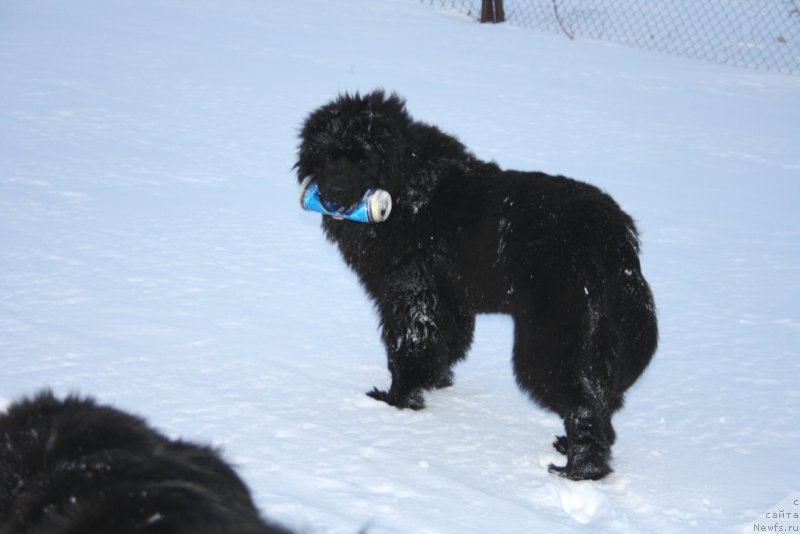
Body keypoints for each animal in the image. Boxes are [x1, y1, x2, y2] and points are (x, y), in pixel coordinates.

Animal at [296, 90, 660, 484]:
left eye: (363, 161)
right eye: (328, 157)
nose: (333, 192)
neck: (404, 185)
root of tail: (612, 230)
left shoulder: (410, 294)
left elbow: (408, 349)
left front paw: (396, 401)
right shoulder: (448, 302)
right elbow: (443, 346)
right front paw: (435, 384)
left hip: (550, 340)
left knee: (584, 405)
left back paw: (578, 470)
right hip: (598, 333)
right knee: (601, 398)